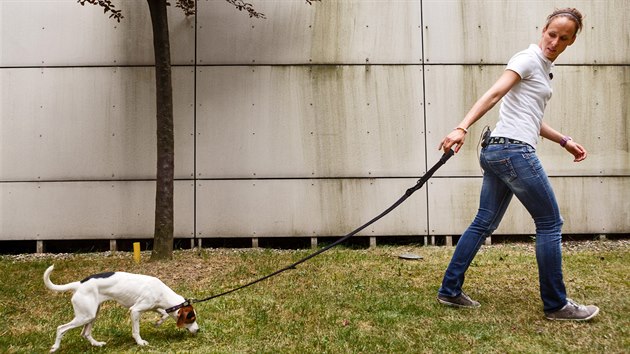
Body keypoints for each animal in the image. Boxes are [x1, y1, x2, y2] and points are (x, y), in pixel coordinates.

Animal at [44, 264, 199, 352]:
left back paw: (97, 344)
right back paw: (55, 347)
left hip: (92, 314)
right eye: (191, 319)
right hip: (85, 316)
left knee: (85, 333)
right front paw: (140, 343)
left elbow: (165, 314)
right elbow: (136, 331)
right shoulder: (135, 310)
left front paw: (158, 322)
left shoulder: (154, 306)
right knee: (61, 328)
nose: (198, 330)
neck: (162, 292)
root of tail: (79, 284)